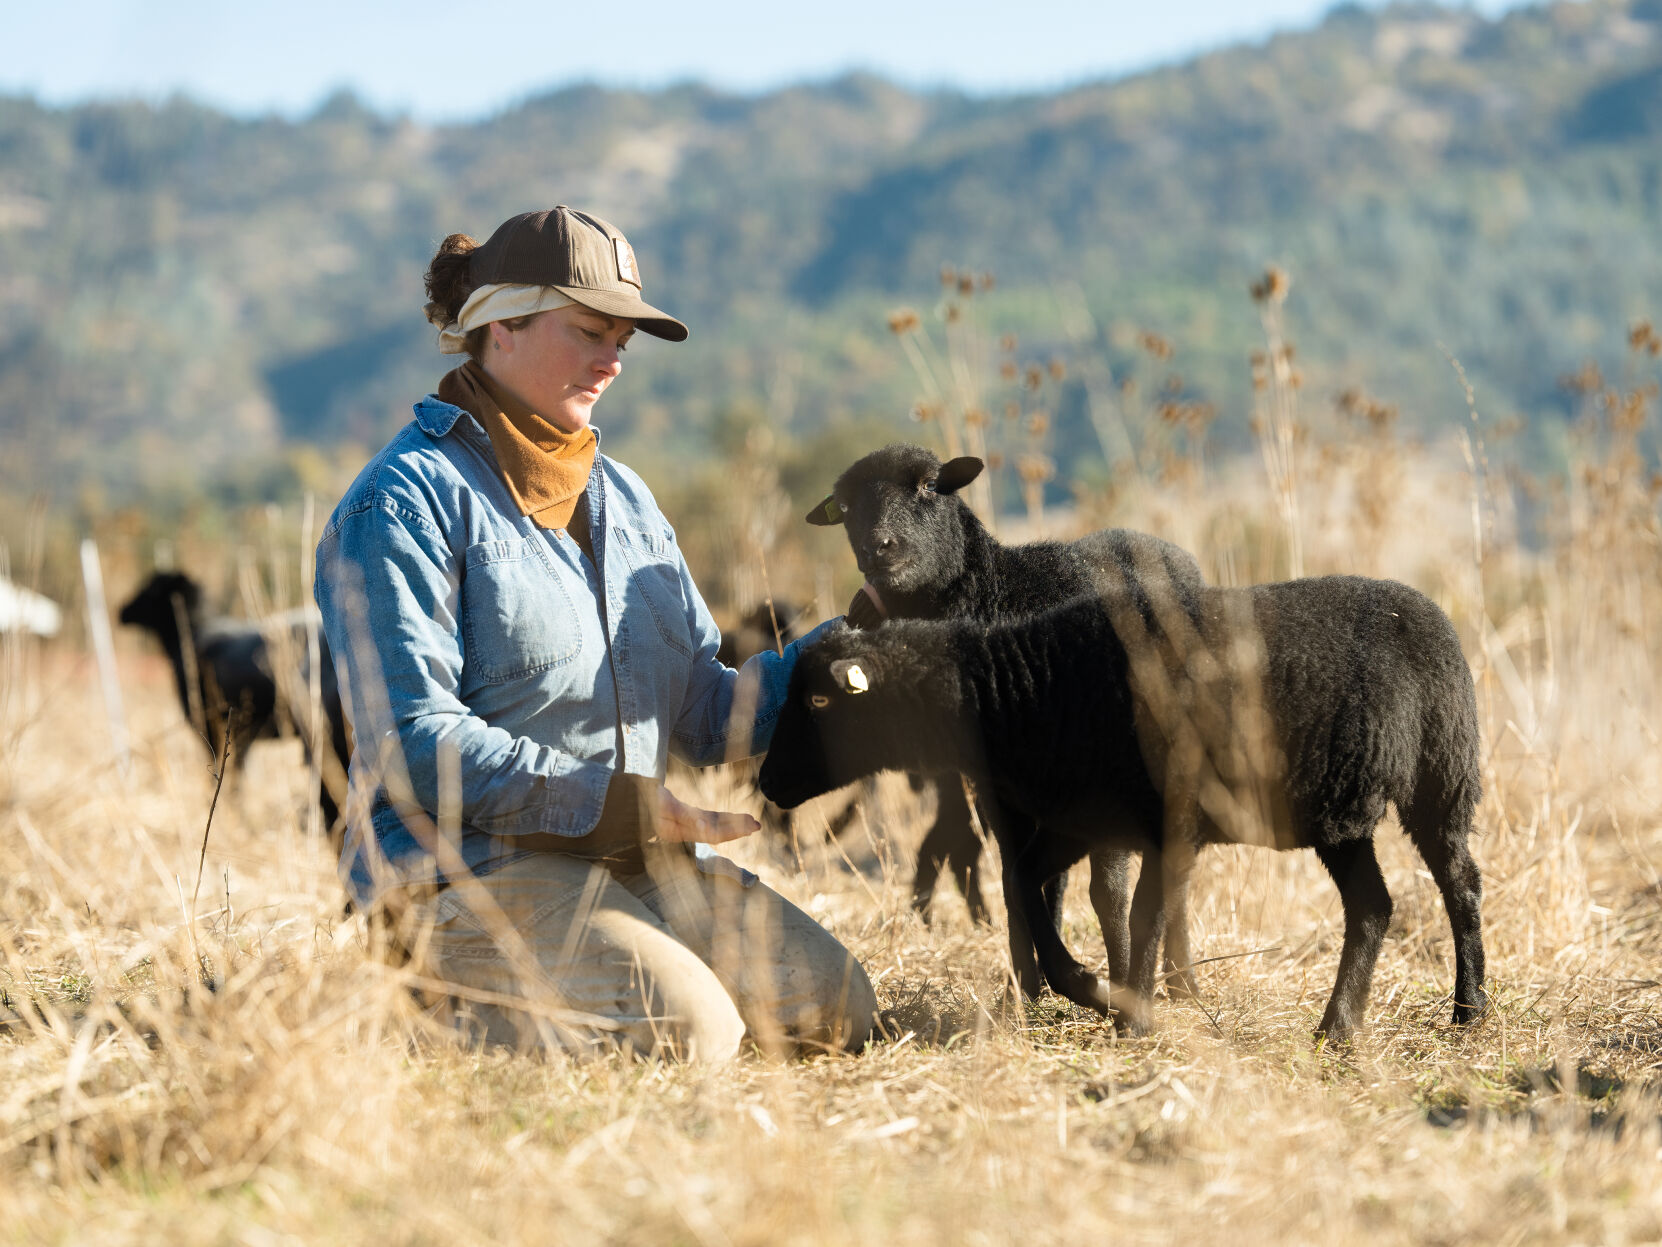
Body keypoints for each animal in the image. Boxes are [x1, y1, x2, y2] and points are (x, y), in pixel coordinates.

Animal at [119, 575, 350, 841]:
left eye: (151, 591)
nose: (121, 612)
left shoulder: (212, 729)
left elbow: (227, 776)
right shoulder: (240, 735)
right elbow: (236, 775)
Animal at [761, 578, 1489, 1044]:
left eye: (820, 701)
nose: (766, 781)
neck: (1022, 693)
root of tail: (1434, 615)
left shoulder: (1164, 821)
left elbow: (1143, 914)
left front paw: (1128, 1009)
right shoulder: (1081, 819)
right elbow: (1030, 889)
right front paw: (1099, 993)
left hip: (1432, 784)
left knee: (1445, 890)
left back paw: (1452, 1011)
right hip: (1368, 809)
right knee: (1390, 902)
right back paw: (1359, 1026)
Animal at [801, 445, 1203, 990]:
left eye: (928, 487)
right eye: (843, 507)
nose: (878, 548)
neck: (1003, 594)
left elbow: (1108, 893)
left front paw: (1119, 985)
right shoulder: (994, 785)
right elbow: (1018, 882)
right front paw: (1025, 992)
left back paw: (1181, 980)